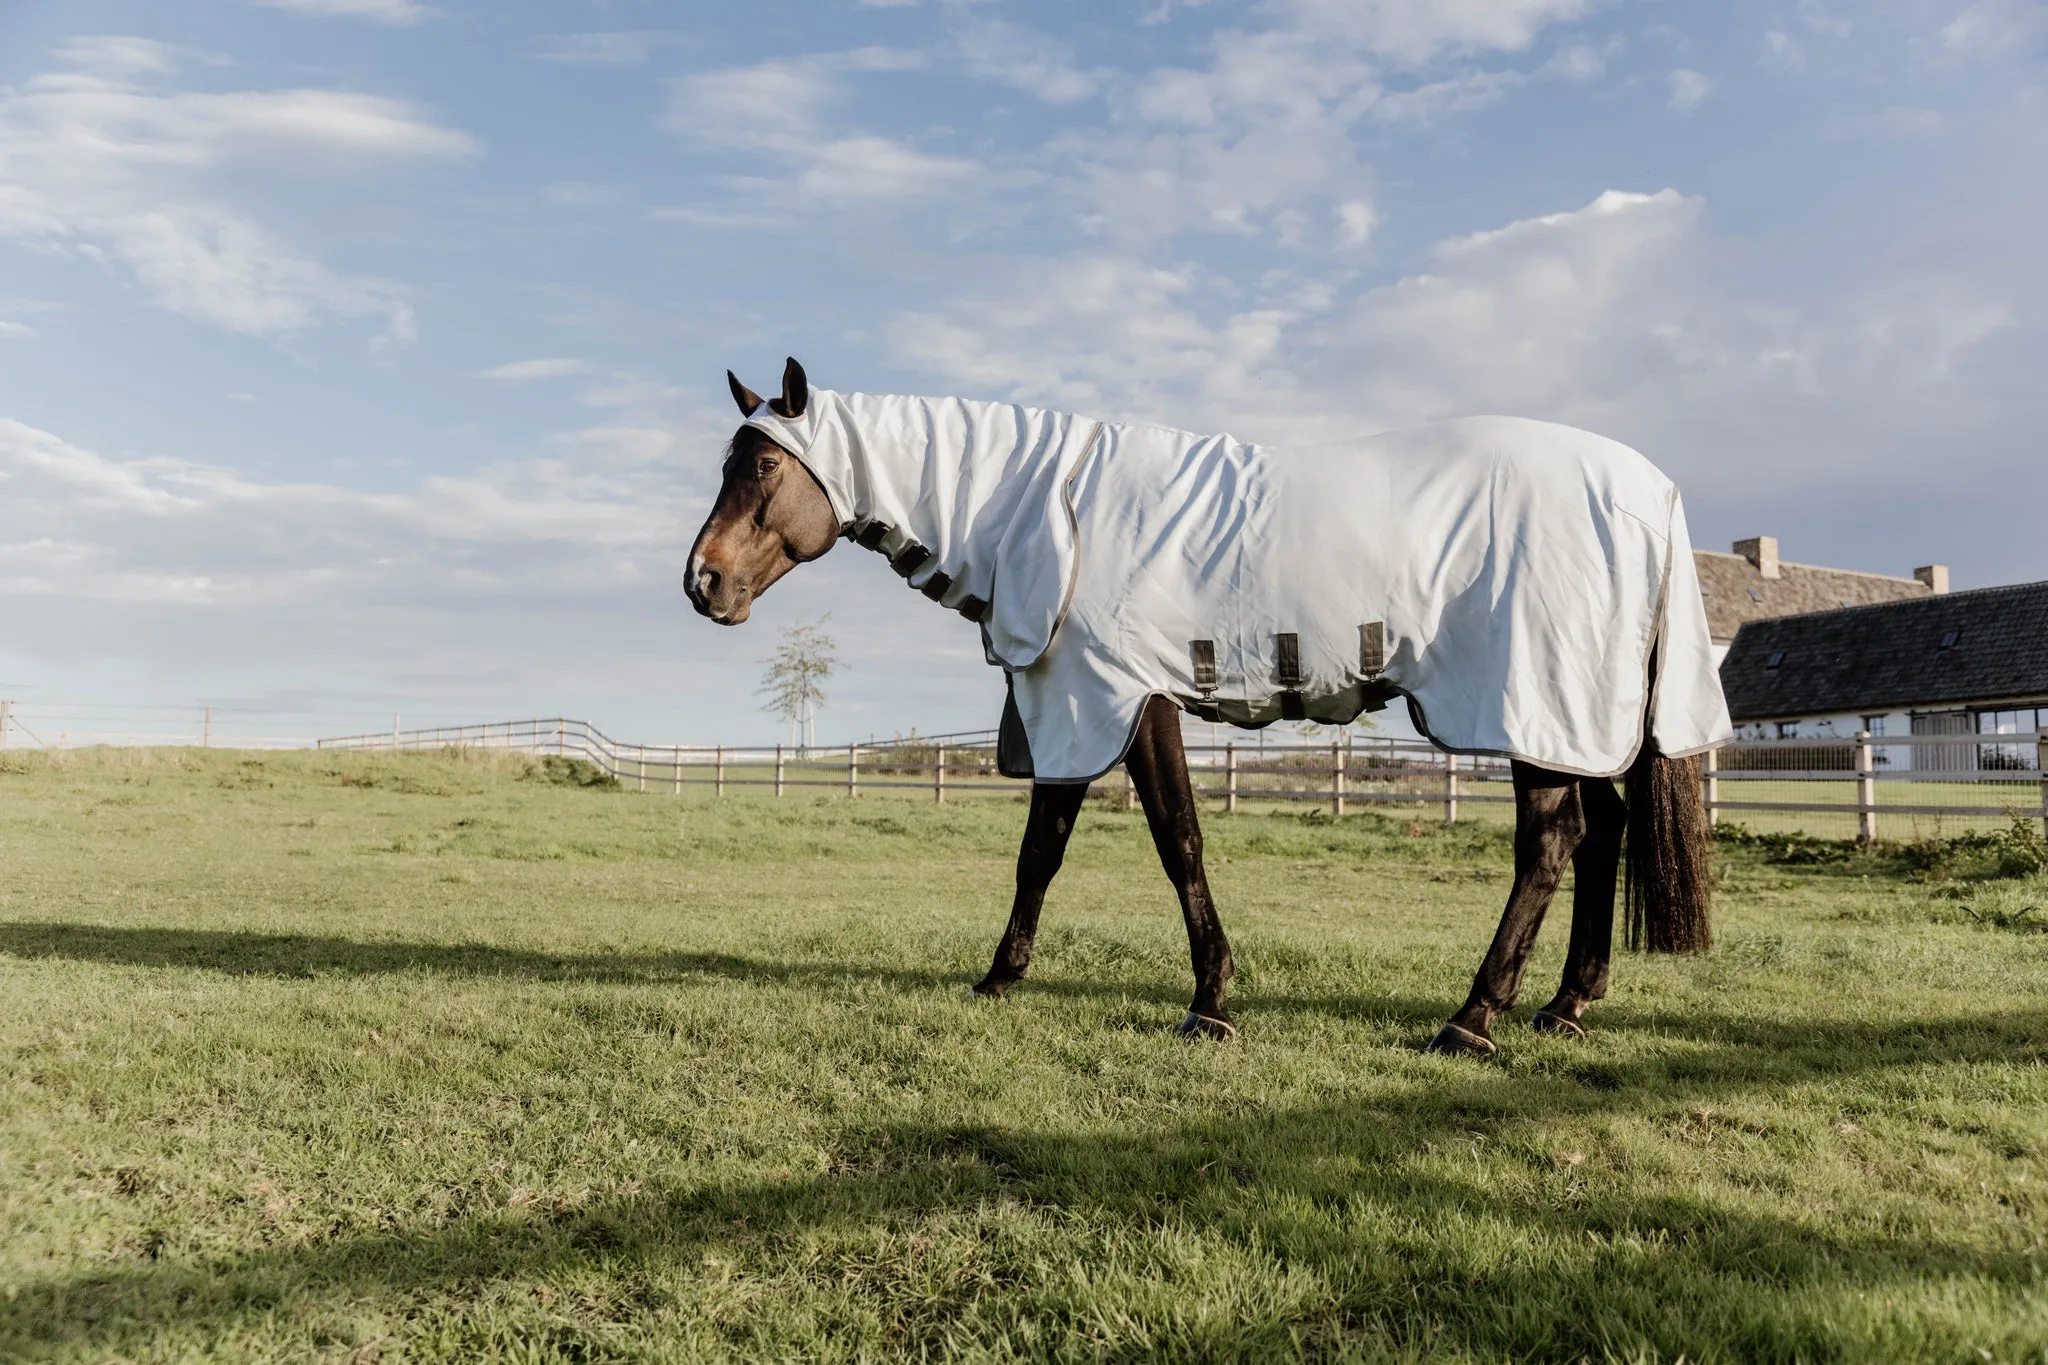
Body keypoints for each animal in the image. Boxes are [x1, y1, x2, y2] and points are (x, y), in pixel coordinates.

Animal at [692, 358, 1728, 1055]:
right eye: (730, 465)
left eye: (765, 471)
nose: (702, 581)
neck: (1046, 506)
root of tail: (1653, 490)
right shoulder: (1077, 703)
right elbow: (1043, 851)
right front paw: (999, 977)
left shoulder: (1121, 696)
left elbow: (1174, 840)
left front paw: (1210, 1002)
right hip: (1567, 717)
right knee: (1604, 830)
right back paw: (1566, 1004)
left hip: (1532, 706)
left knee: (1551, 843)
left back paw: (1473, 1017)